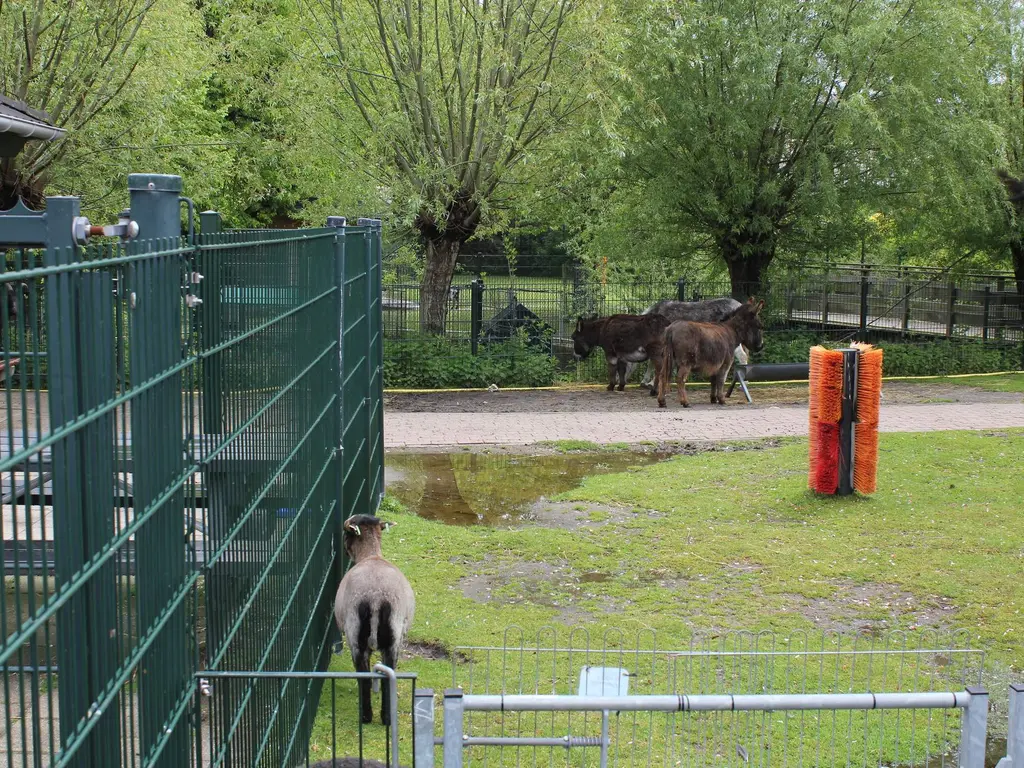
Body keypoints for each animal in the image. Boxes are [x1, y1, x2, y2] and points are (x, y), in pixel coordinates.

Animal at [335, 518, 415, 729]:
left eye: (345, 534)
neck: (371, 555)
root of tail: (376, 597)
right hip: (393, 639)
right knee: (388, 675)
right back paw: (386, 717)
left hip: (356, 637)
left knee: (363, 676)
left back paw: (367, 716)